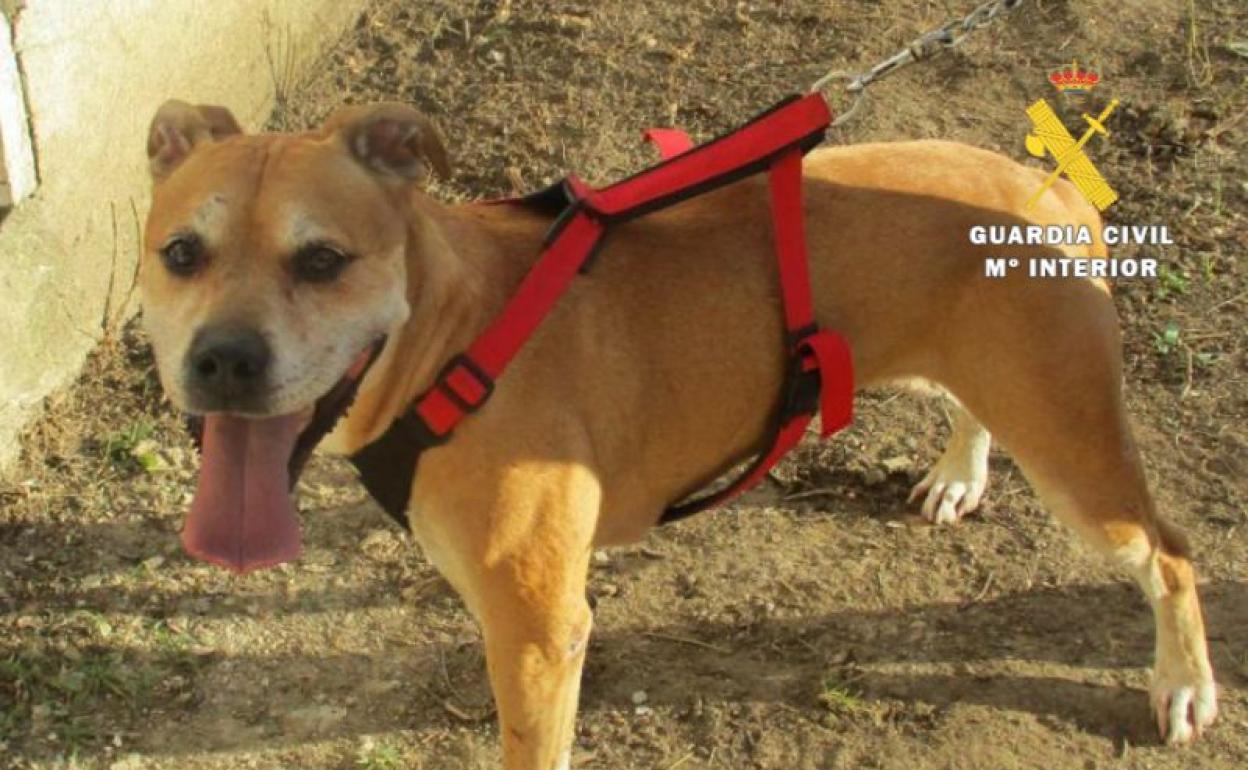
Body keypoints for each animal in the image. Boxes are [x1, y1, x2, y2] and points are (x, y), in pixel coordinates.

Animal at [140, 99, 1217, 769]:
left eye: (322, 260)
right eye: (180, 253)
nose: (224, 360)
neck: (455, 339)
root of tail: (1054, 189)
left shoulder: (537, 634)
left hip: (1074, 452)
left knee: (1169, 551)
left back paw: (1184, 682)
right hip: (944, 359)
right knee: (973, 407)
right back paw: (960, 472)